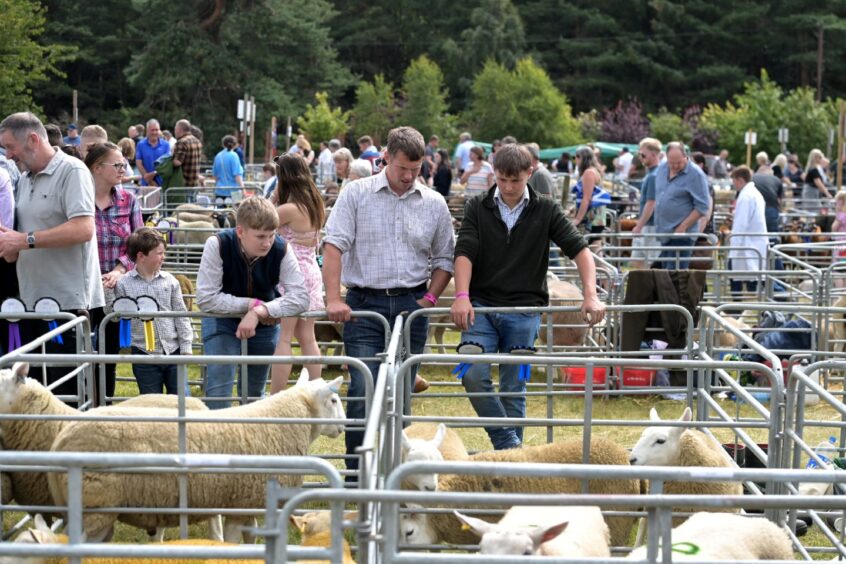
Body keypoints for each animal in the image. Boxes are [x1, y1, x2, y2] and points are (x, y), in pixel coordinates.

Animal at [44, 372, 344, 544]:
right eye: (334, 400)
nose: (343, 425)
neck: (279, 423)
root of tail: (61, 440)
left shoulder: (247, 503)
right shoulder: (237, 507)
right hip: (95, 508)